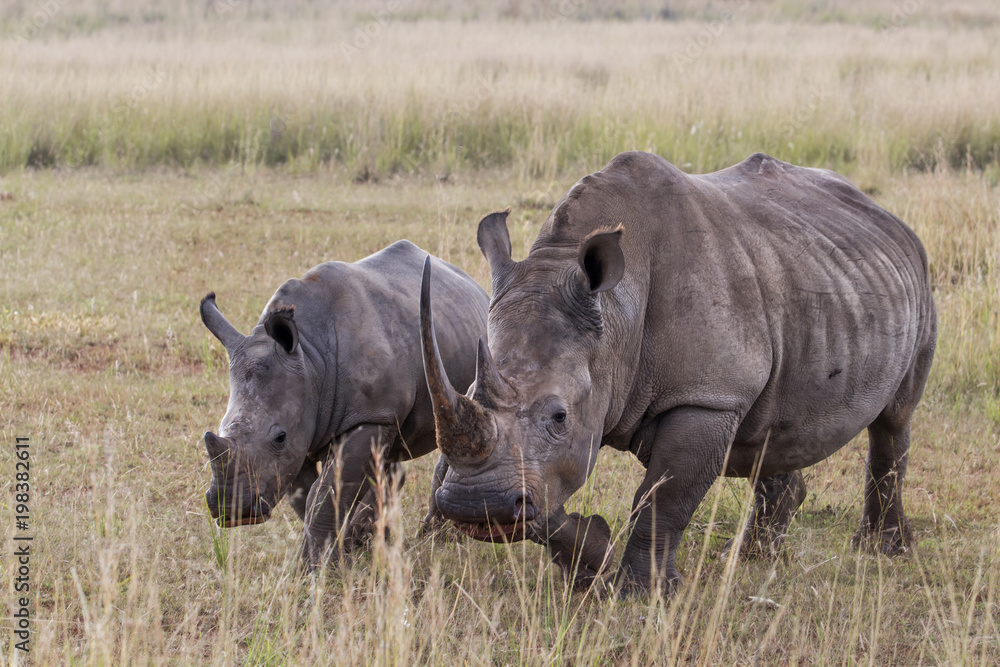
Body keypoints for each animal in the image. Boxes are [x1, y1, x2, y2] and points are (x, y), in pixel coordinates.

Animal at [200, 240, 488, 566]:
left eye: (279, 436)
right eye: (220, 428)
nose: (232, 510)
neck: (310, 358)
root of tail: (472, 283)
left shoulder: (368, 416)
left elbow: (326, 494)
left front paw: (317, 569)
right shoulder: (302, 430)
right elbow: (308, 496)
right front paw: (342, 550)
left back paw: (432, 537)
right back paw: (376, 536)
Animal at [419, 152, 937, 595]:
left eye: (559, 416)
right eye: (469, 391)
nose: (473, 507)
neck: (616, 315)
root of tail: (886, 215)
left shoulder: (707, 397)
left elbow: (662, 496)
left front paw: (640, 594)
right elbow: (540, 495)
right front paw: (592, 562)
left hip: (919, 278)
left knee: (894, 419)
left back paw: (882, 550)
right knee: (772, 429)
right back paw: (751, 558)